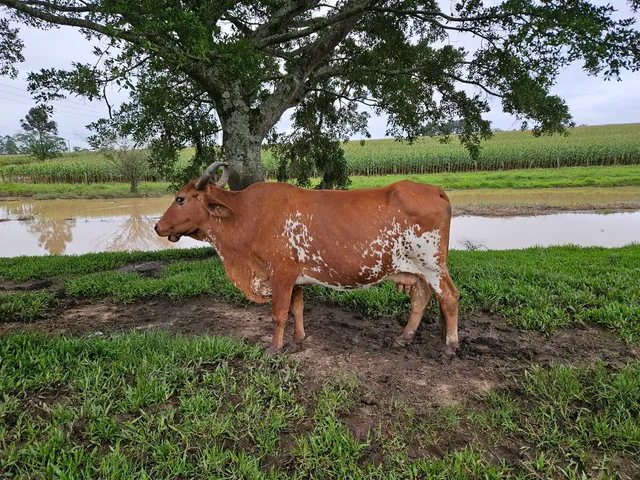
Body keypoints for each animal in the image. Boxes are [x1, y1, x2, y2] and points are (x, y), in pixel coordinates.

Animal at [155, 162, 460, 357]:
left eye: (180, 199)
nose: (158, 226)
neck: (247, 216)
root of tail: (433, 189)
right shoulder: (296, 279)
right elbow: (297, 309)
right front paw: (297, 340)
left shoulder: (280, 274)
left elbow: (279, 314)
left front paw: (274, 348)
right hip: (417, 270)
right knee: (420, 299)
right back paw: (404, 339)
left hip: (433, 266)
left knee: (449, 298)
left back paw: (449, 346)